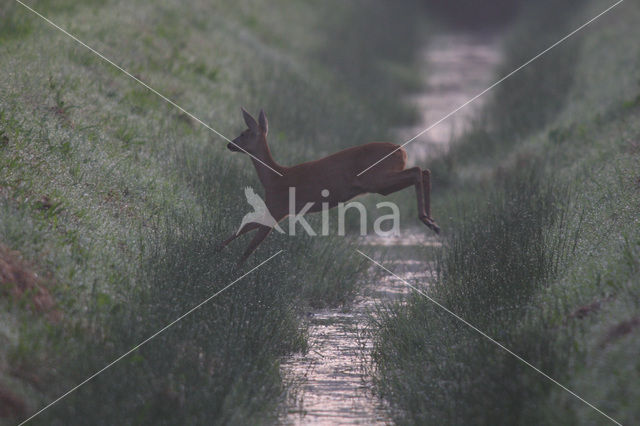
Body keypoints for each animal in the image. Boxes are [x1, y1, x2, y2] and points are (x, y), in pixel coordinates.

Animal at [220, 107, 440, 262]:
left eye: (244, 133)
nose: (229, 144)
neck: (274, 178)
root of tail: (401, 151)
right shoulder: (279, 210)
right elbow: (244, 230)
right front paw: (218, 254)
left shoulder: (277, 207)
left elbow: (248, 243)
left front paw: (226, 265)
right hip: (381, 183)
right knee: (423, 171)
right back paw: (432, 222)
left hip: (376, 180)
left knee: (417, 171)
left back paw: (428, 220)